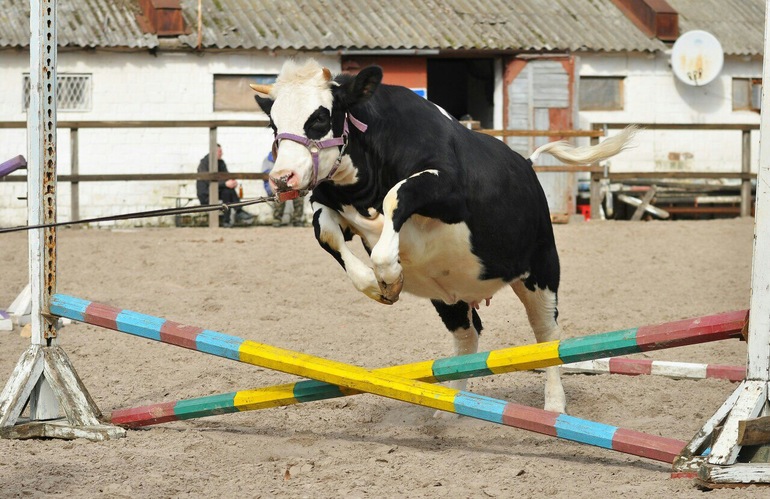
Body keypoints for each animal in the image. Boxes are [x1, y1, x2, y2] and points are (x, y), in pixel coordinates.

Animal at [252, 59, 634, 415]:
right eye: (273, 123)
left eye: (319, 118)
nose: (282, 177)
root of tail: (526, 163)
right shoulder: (331, 203)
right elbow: (327, 232)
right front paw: (376, 284)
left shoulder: (447, 188)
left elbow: (396, 197)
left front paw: (390, 272)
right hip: (450, 297)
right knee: (468, 336)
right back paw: (454, 407)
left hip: (541, 271)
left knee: (547, 337)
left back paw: (554, 404)